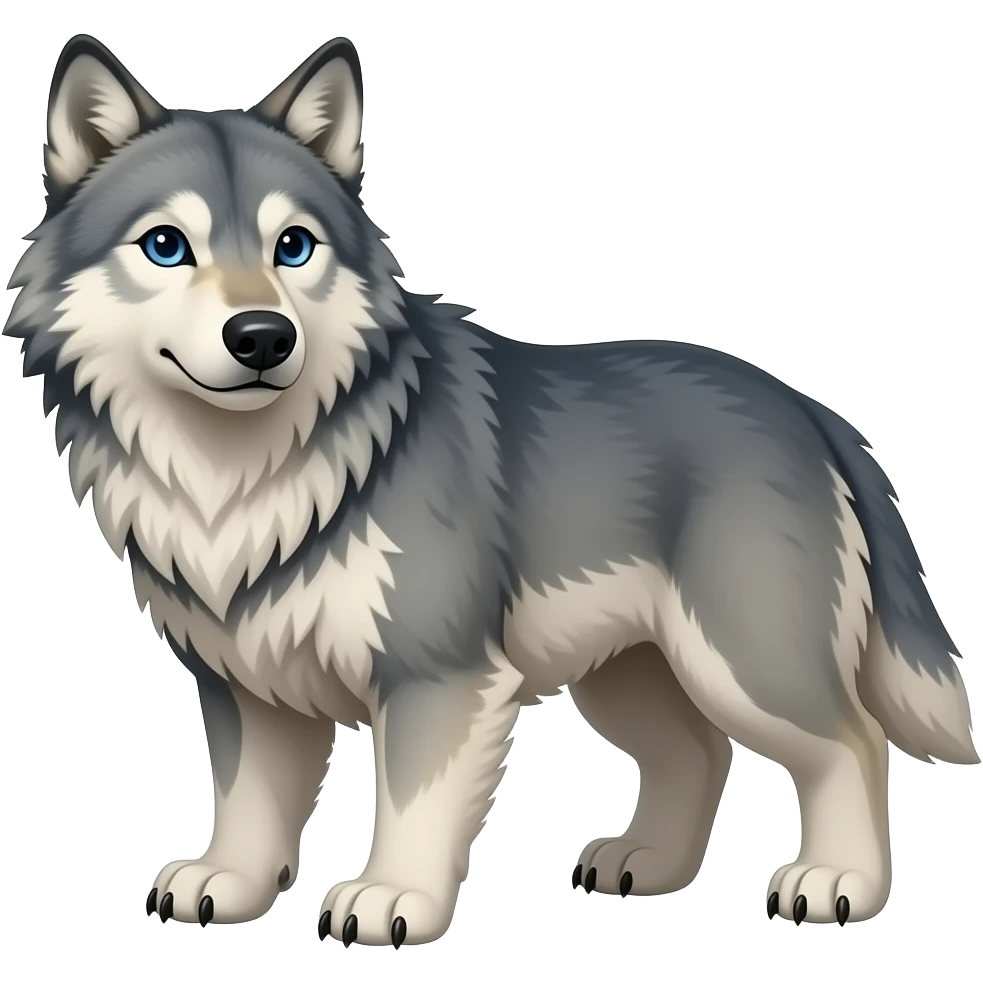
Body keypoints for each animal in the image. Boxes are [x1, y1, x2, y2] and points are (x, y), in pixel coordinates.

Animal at [3, 32, 978, 947]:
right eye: (167, 246)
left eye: (294, 246)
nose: (262, 337)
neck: (247, 474)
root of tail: (808, 408)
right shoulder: (246, 683)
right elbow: (248, 800)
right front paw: (231, 883)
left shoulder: (438, 675)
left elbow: (408, 801)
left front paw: (391, 898)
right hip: (630, 673)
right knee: (698, 753)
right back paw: (649, 861)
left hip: (741, 660)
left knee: (852, 741)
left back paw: (837, 881)